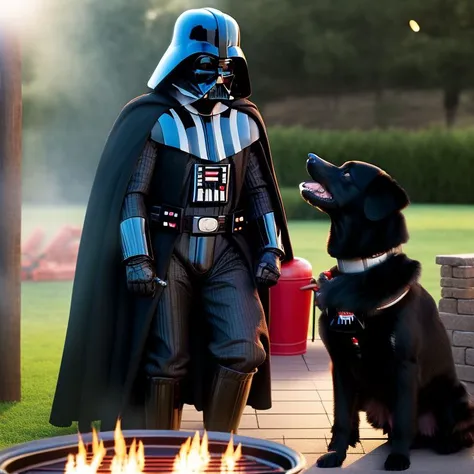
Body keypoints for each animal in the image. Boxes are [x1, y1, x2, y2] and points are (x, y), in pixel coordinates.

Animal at [300, 154, 474, 468]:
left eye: (348, 174)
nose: (310, 157)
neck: (359, 270)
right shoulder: (340, 363)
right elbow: (341, 417)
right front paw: (336, 454)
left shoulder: (404, 364)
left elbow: (404, 418)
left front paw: (398, 459)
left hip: (458, 397)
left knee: (453, 432)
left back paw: (441, 444)